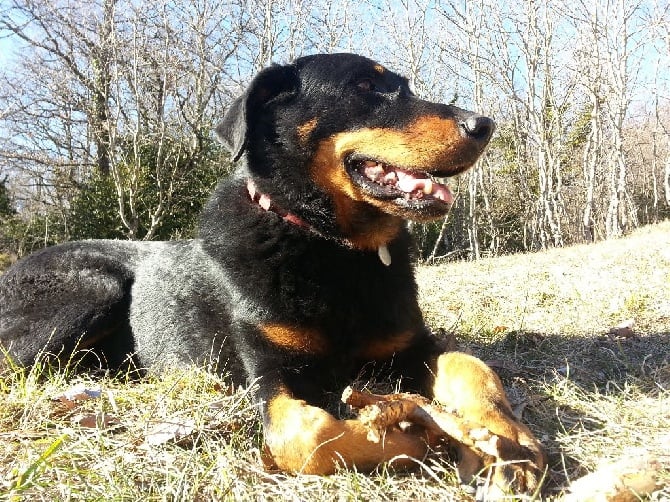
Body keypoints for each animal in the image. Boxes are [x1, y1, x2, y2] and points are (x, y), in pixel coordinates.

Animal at [0, 54, 544, 494]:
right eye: (366, 86)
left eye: (405, 87)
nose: (484, 124)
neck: (333, 249)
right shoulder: (270, 370)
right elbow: (309, 435)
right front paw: (417, 436)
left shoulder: (410, 346)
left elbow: (471, 366)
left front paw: (508, 441)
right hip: (96, 289)